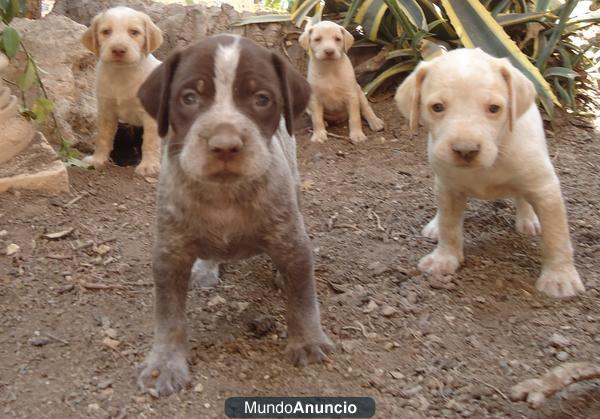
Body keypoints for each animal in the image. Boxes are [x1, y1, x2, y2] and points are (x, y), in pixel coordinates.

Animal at [82, 6, 163, 177]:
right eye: (106, 32)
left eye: (134, 32)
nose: (118, 50)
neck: (122, 73)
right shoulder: (106, 110)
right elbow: (103, 137)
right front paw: (97, 160)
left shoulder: (150, 116)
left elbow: (150, 141)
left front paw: (148, 165)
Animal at [135, 33, 338, 398]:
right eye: (189, 98)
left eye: (262, 99)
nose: (225, 145)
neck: (224, 195)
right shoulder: (169, 254)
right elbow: (169, 317)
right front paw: (165, 364)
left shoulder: (291, 240)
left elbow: (303, 299)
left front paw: (309, 342)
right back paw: (206, 267)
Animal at [396, 48, 584, 298]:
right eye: (437, 107)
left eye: (494, 108)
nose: (465, 150)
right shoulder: (449, 188)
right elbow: (449, 226)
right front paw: (444, 258)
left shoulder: (546, 189)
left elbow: (557, 236)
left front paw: (560, 277)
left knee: (523, 197)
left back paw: (528, 219)